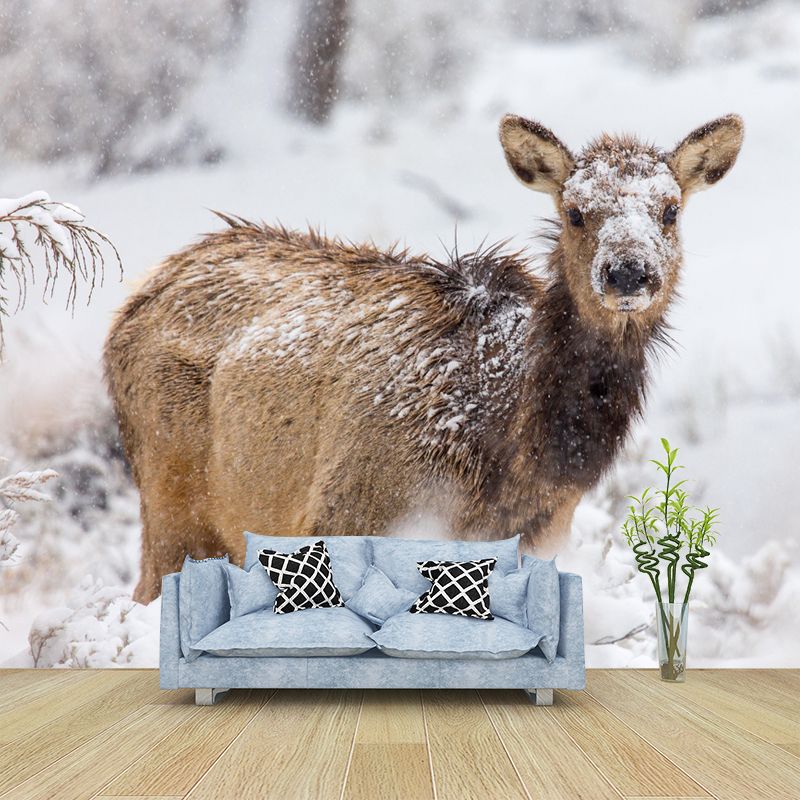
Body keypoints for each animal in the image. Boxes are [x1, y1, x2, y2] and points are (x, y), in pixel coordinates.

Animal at [104, 114, 743, 604]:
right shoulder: (346, 512)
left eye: (670, 210)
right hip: (169, 498)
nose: (628, 273)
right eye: (575, 212)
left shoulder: (543, 536)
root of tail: (139, 296)